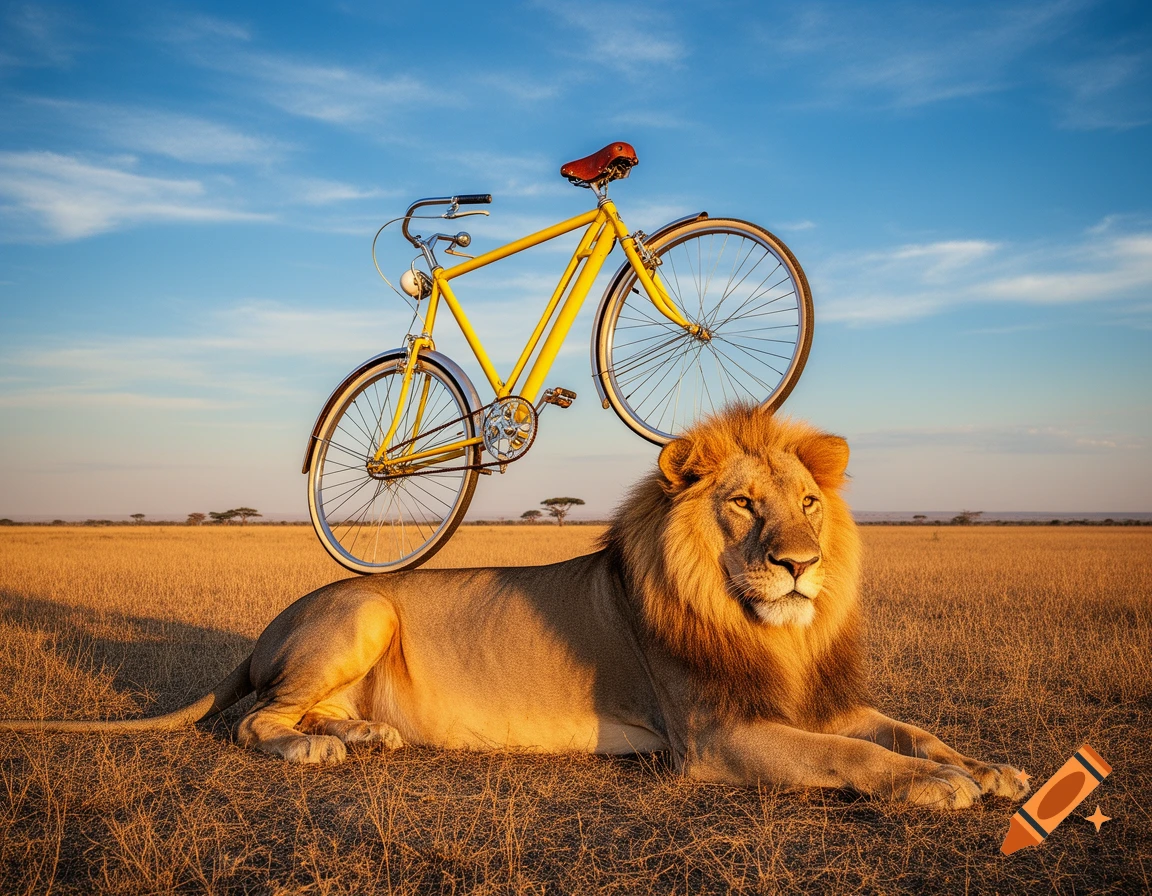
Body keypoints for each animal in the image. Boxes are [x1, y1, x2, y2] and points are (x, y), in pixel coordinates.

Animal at [0, 405, 1027, 808]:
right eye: (743, 505)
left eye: (809, 504)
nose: (800, 566)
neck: (769, 632)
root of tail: (270, 623)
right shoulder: (718, 735)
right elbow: (853, 754)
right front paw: (941, 787)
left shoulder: (814, 699)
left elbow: (907, 728)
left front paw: (993, 770)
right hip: (366, 610)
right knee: (254, 718)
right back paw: (319, 749)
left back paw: (367, 734)